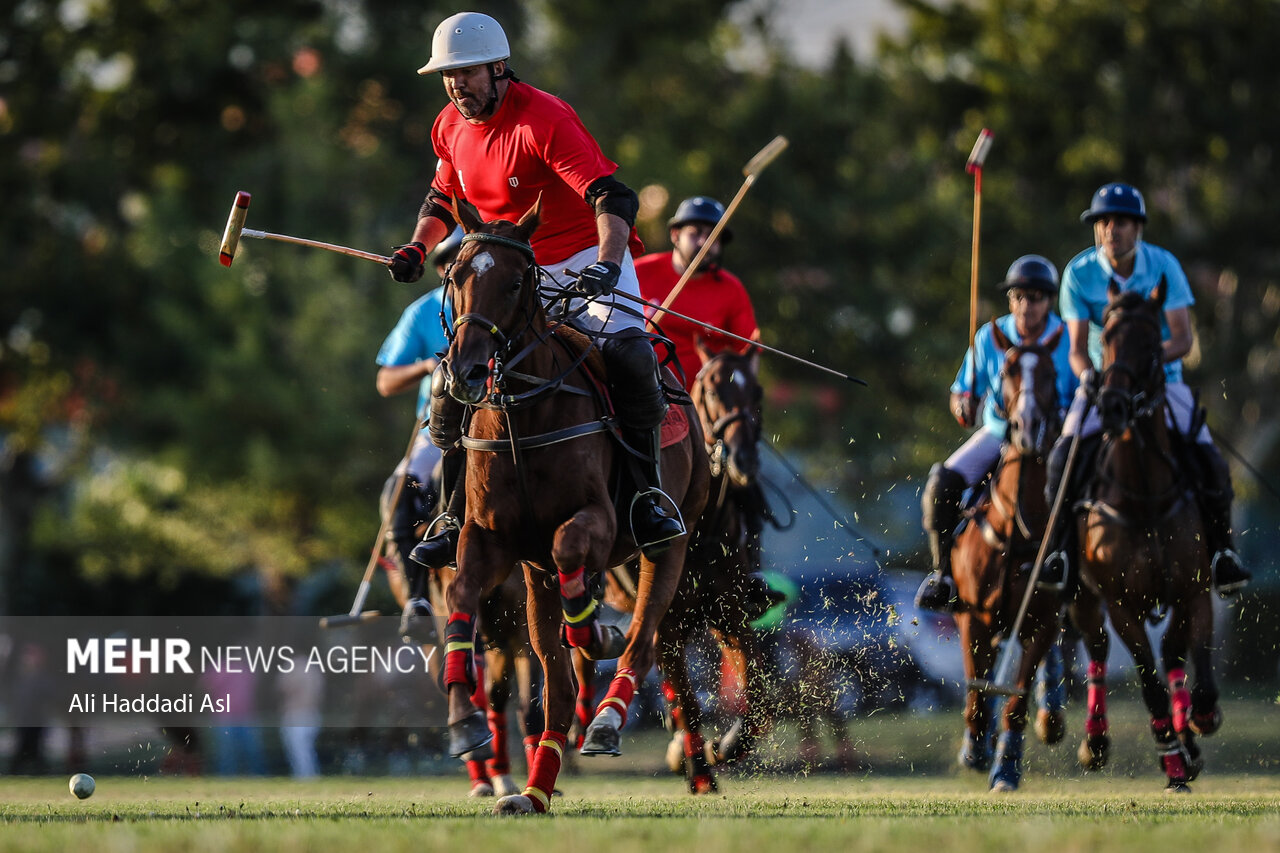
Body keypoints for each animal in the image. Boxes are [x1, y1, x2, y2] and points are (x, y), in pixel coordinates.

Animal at [435, 197, 706, 809]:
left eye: (516, 282)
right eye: (456, 277)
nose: (464, 372)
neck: (521, 412)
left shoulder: (597, 521)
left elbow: (571, 547)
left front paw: (596, 633)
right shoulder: (490, 539)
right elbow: (462, 593)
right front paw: (462, 721)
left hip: (669, 544)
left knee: (644, 637)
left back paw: (606, 717)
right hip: (532, 581)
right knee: (554, 684)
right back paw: (534, 791)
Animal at [952, 322, 1070, 788]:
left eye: (1052, 374)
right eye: (1006, 372)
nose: (1027, 426)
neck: (1015, 526)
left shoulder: (1041, 619)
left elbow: (1016, 703)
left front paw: (1005, 768)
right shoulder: (972, 616)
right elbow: (976, 690)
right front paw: (974, 750)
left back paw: (1051, 713)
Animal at [1064, 279, 1213, 788]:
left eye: (1152, 343)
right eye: (1105, 338)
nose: (1111, 406)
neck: (1145, 497)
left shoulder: (1194, 587)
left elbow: (1193, 650)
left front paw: (1199, 719)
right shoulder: (1120, 602)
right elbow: (1147, 680)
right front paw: (1172, 758)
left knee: (1172, 653)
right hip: (1081, 594)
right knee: (1097, 649)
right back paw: (1096, 742)